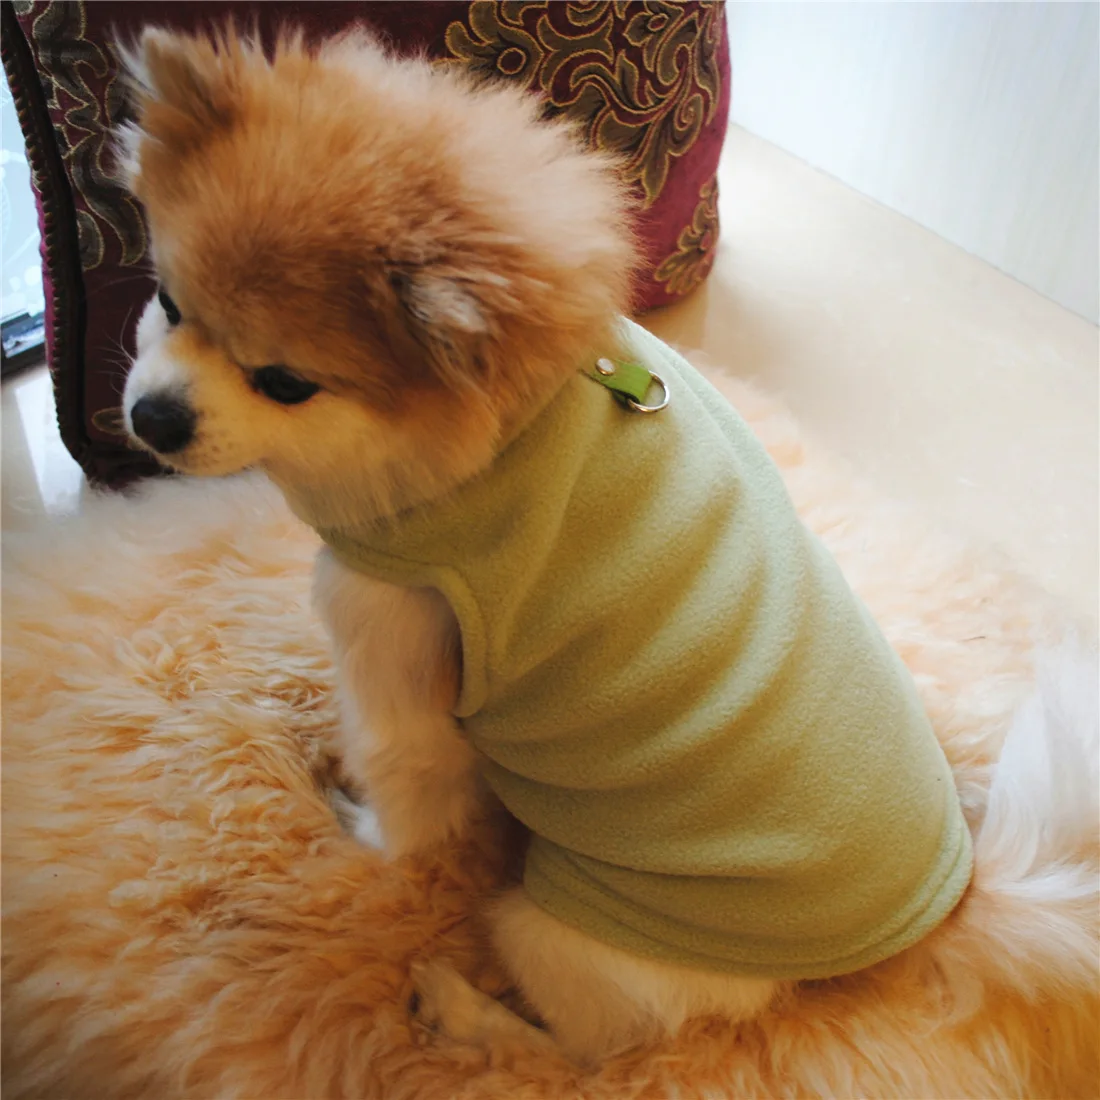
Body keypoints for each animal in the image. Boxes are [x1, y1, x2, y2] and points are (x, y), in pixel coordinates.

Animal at [118, 27, 1098, 1072]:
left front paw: (359, 827)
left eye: (284, 382)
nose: (151, 416)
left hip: (557, 928)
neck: (516, 420)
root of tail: (936, 917)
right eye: (167, 304)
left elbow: (406, 790)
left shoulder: (391, 642)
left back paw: (462, 1010)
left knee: (583, 1053)